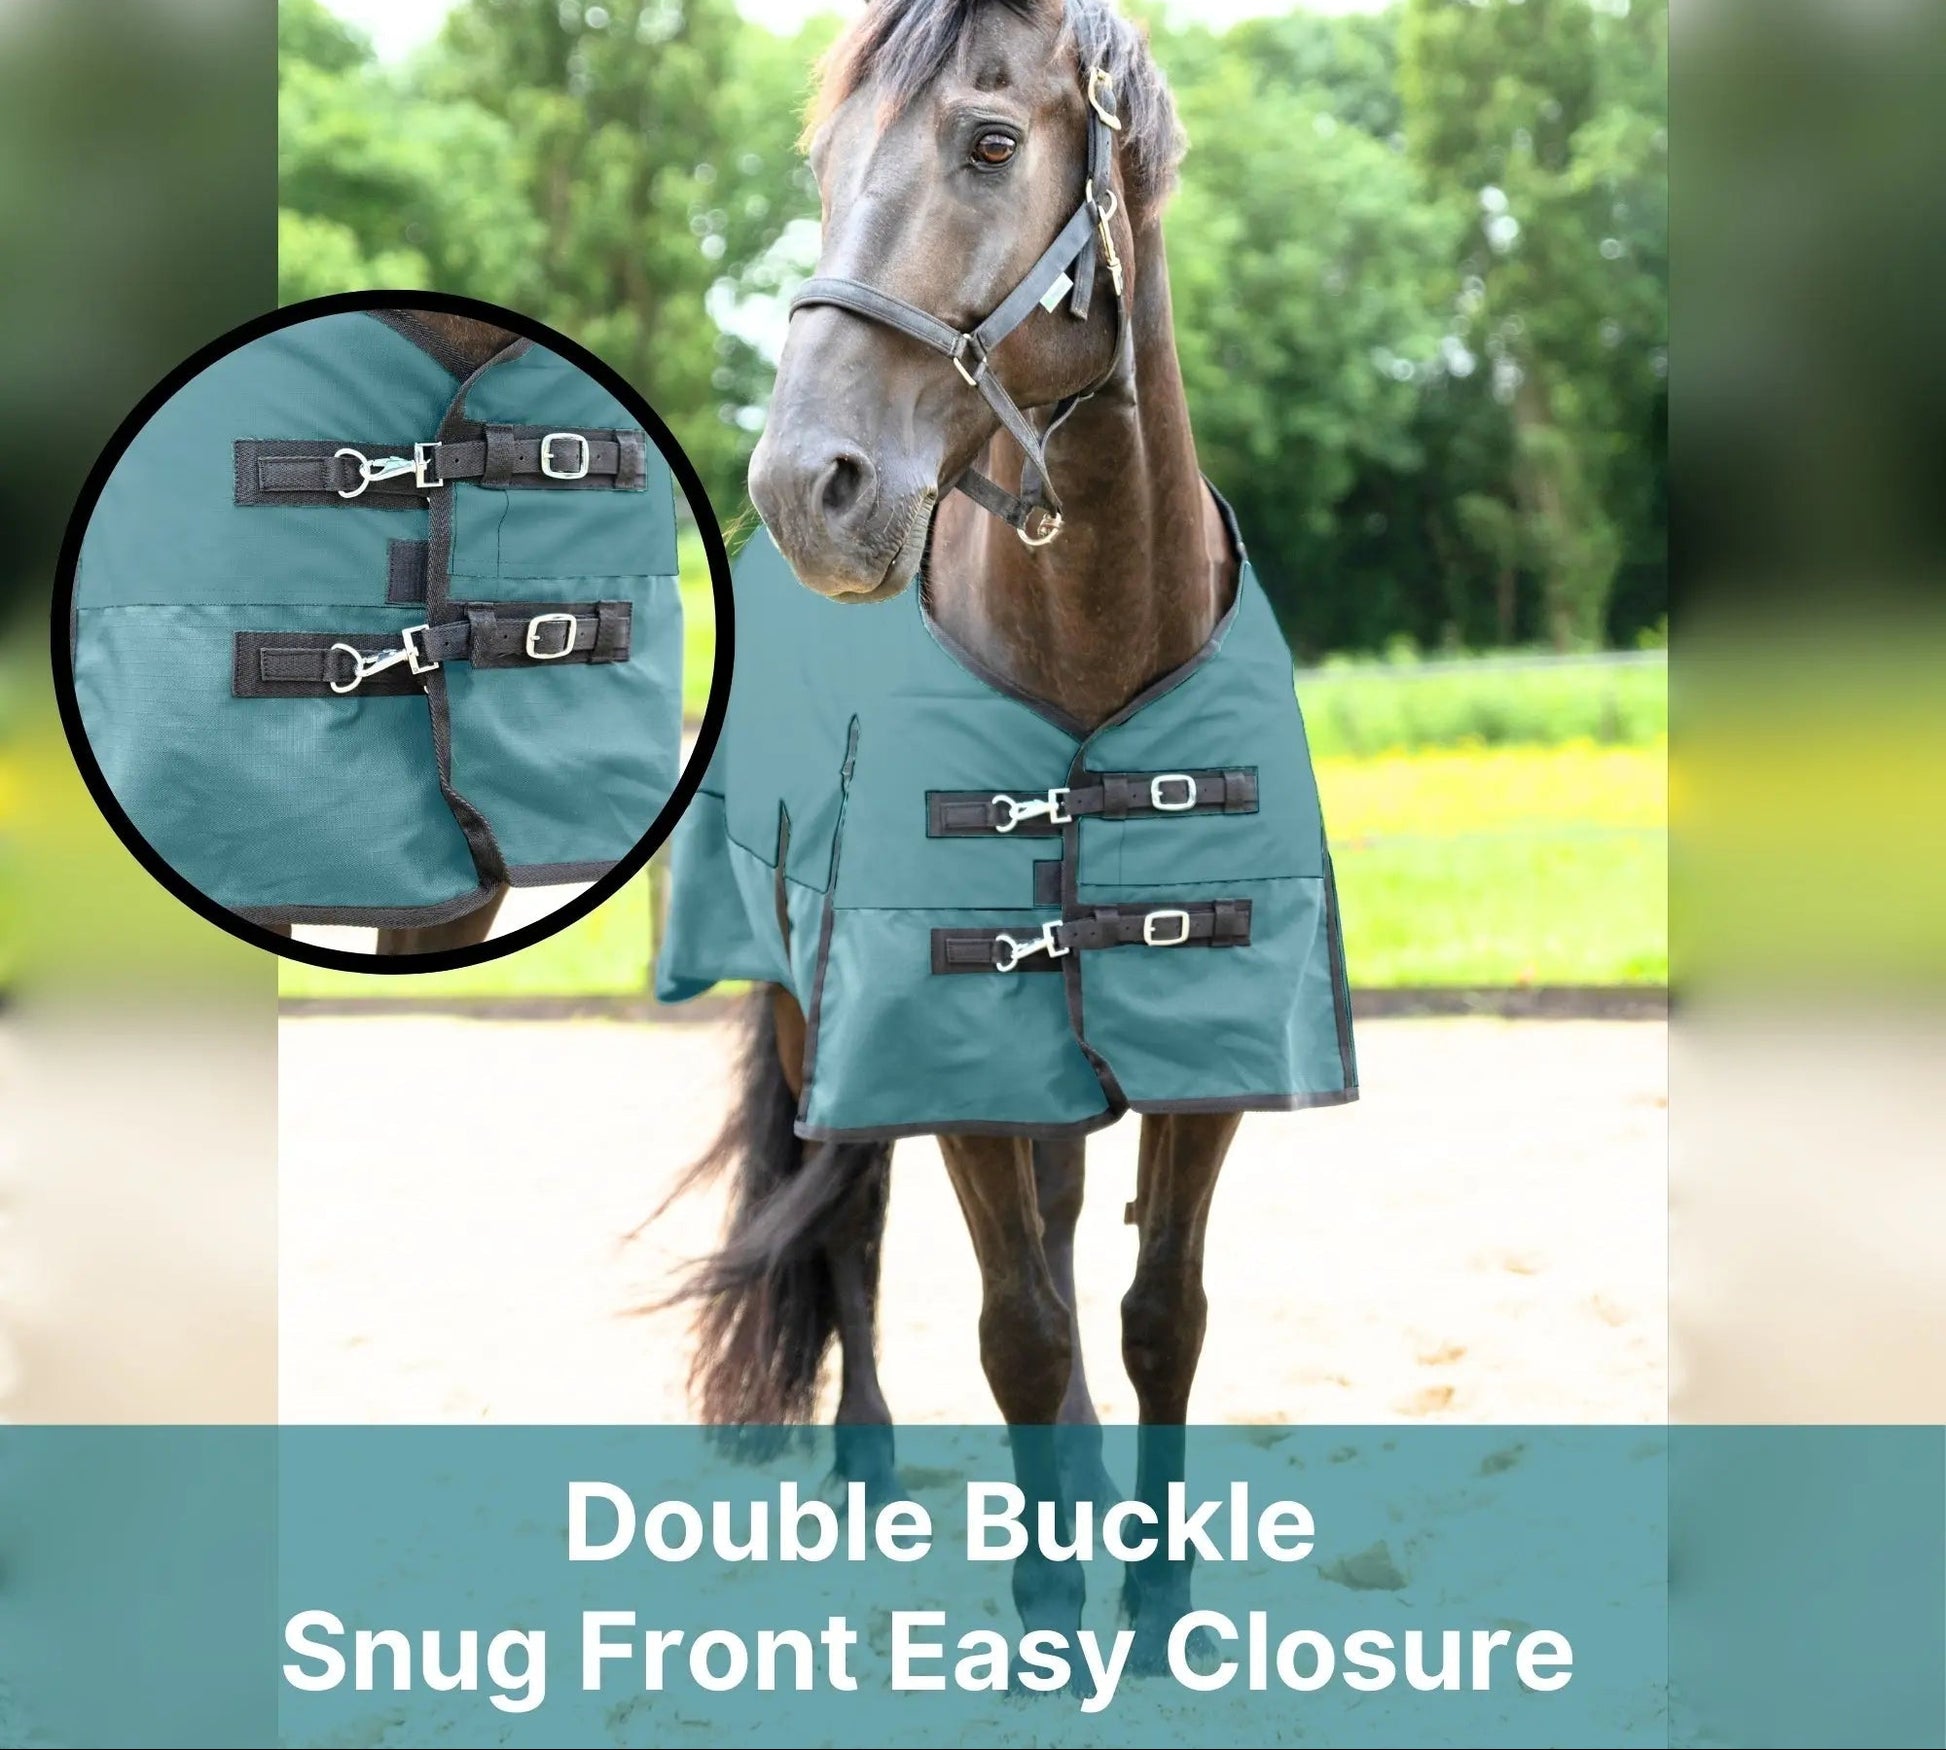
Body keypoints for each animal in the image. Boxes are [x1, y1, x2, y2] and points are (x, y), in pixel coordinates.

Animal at [678, 0, 1261, 1667]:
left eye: (990, 143)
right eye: (821, 166)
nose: (805, 486)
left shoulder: (1207, 1063)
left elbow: (1152, 1312)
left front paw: (1156, 1586)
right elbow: (1016, 1325)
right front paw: (1055, 1602)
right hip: (813, 1018)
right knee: (849, 1230)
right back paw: (868, 1464)